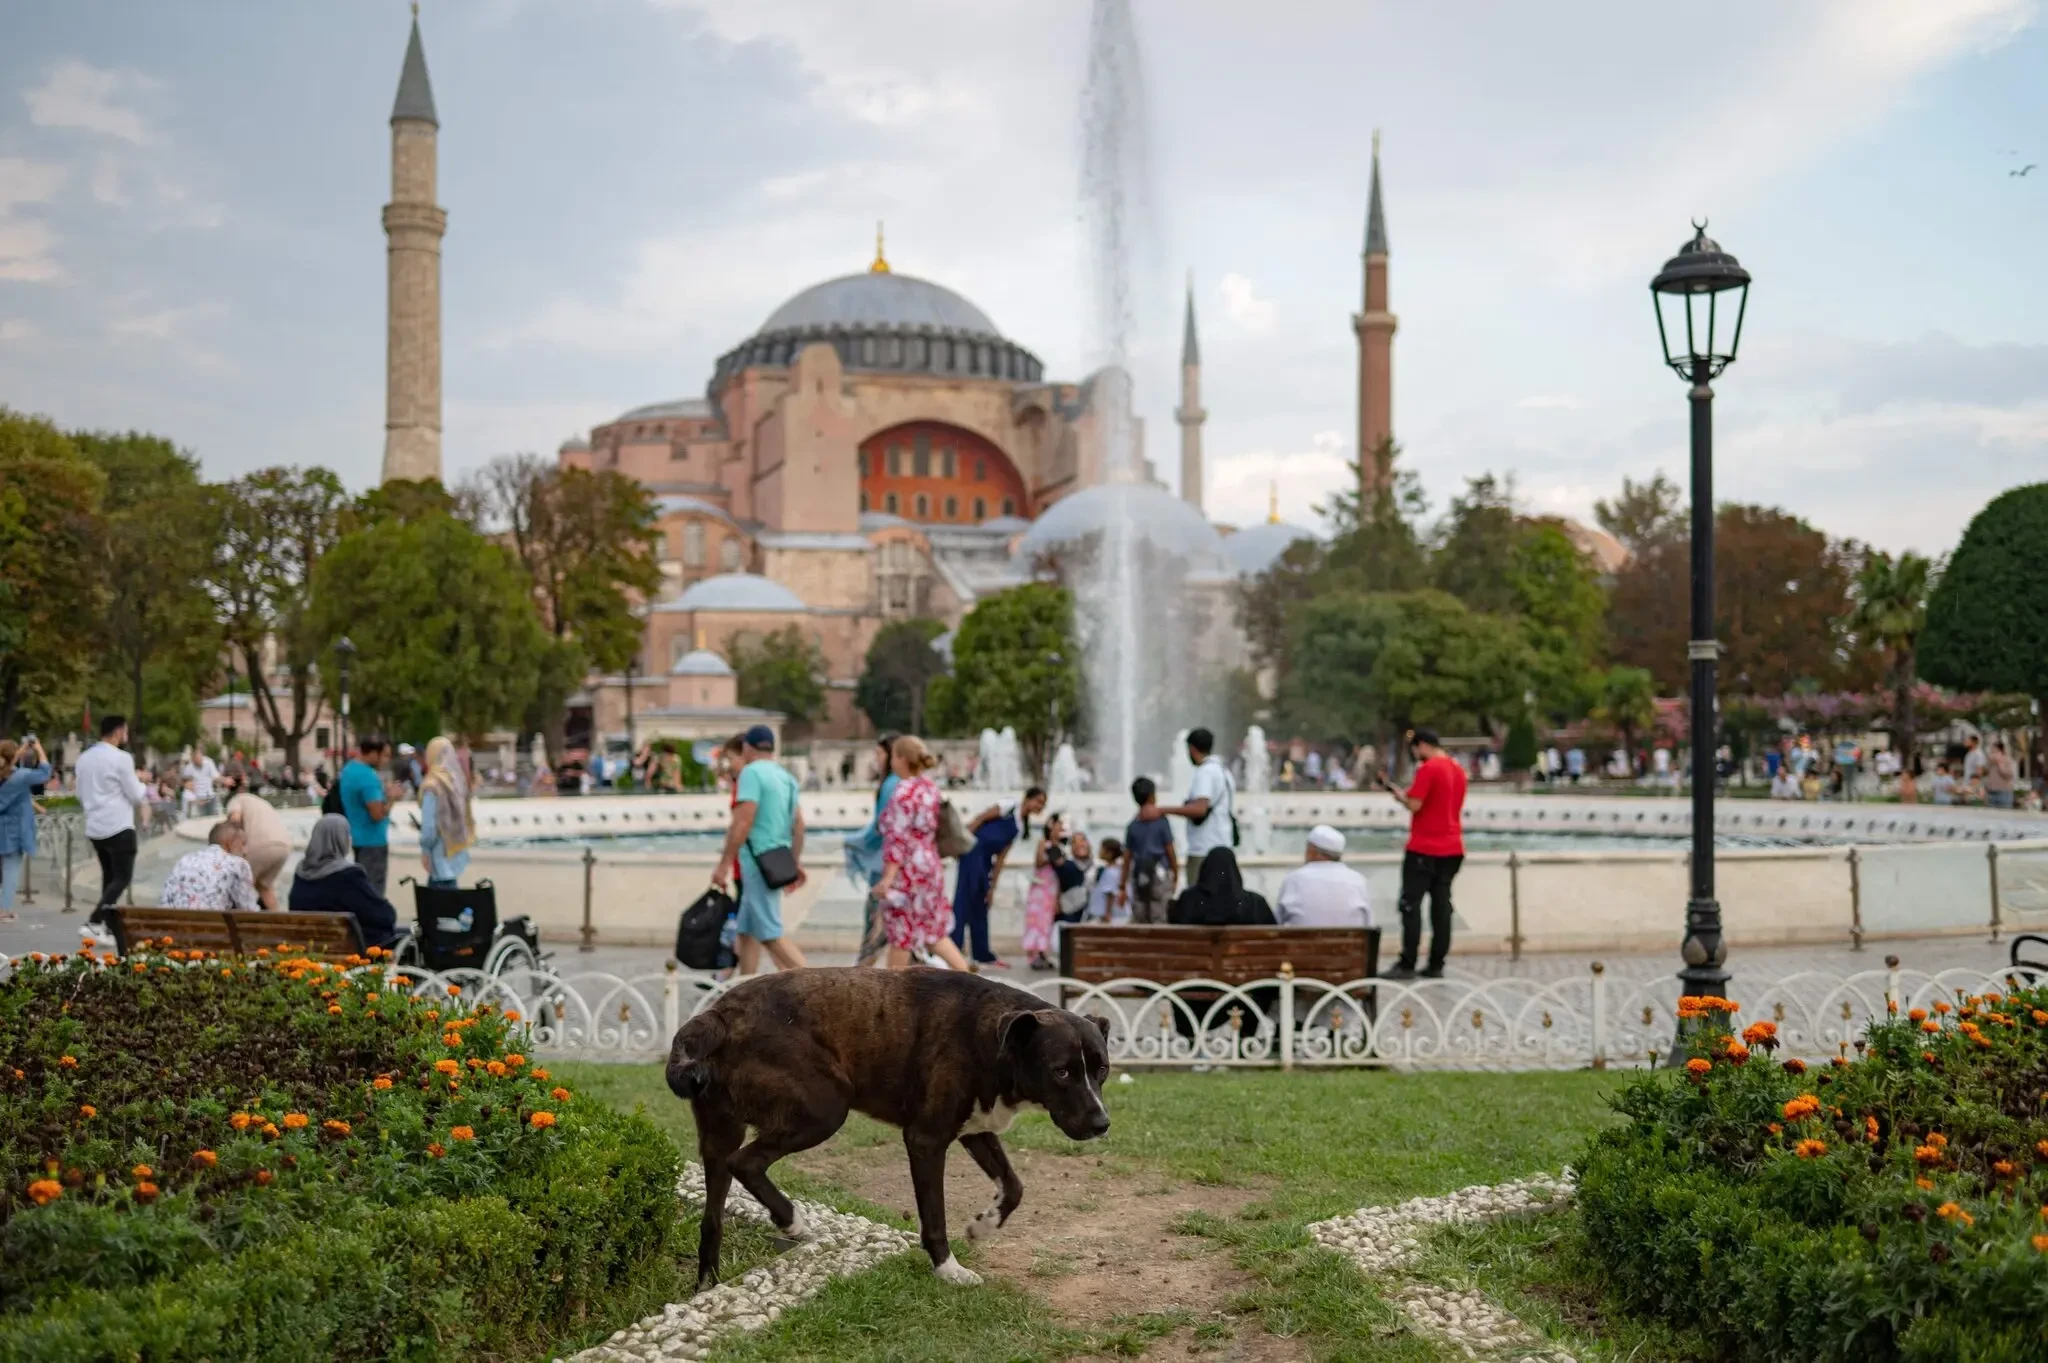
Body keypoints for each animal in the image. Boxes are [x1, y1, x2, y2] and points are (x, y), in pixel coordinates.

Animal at [667, 965, 1114, 1285]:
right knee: (746, 1163)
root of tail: (718, 1015)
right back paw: (792, 1221)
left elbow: (1014, 1186)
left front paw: (984, 1226)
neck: (989, 1036)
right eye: (1061, 1071)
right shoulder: (926, 1140)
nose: (1101, 1123)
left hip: (721, 1133)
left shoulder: (975, 1129)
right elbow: (934, 1216)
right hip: (824, 1110)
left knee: (712, 1218)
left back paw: (707, 1286)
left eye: (1102, 1070)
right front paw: (947, 1269)